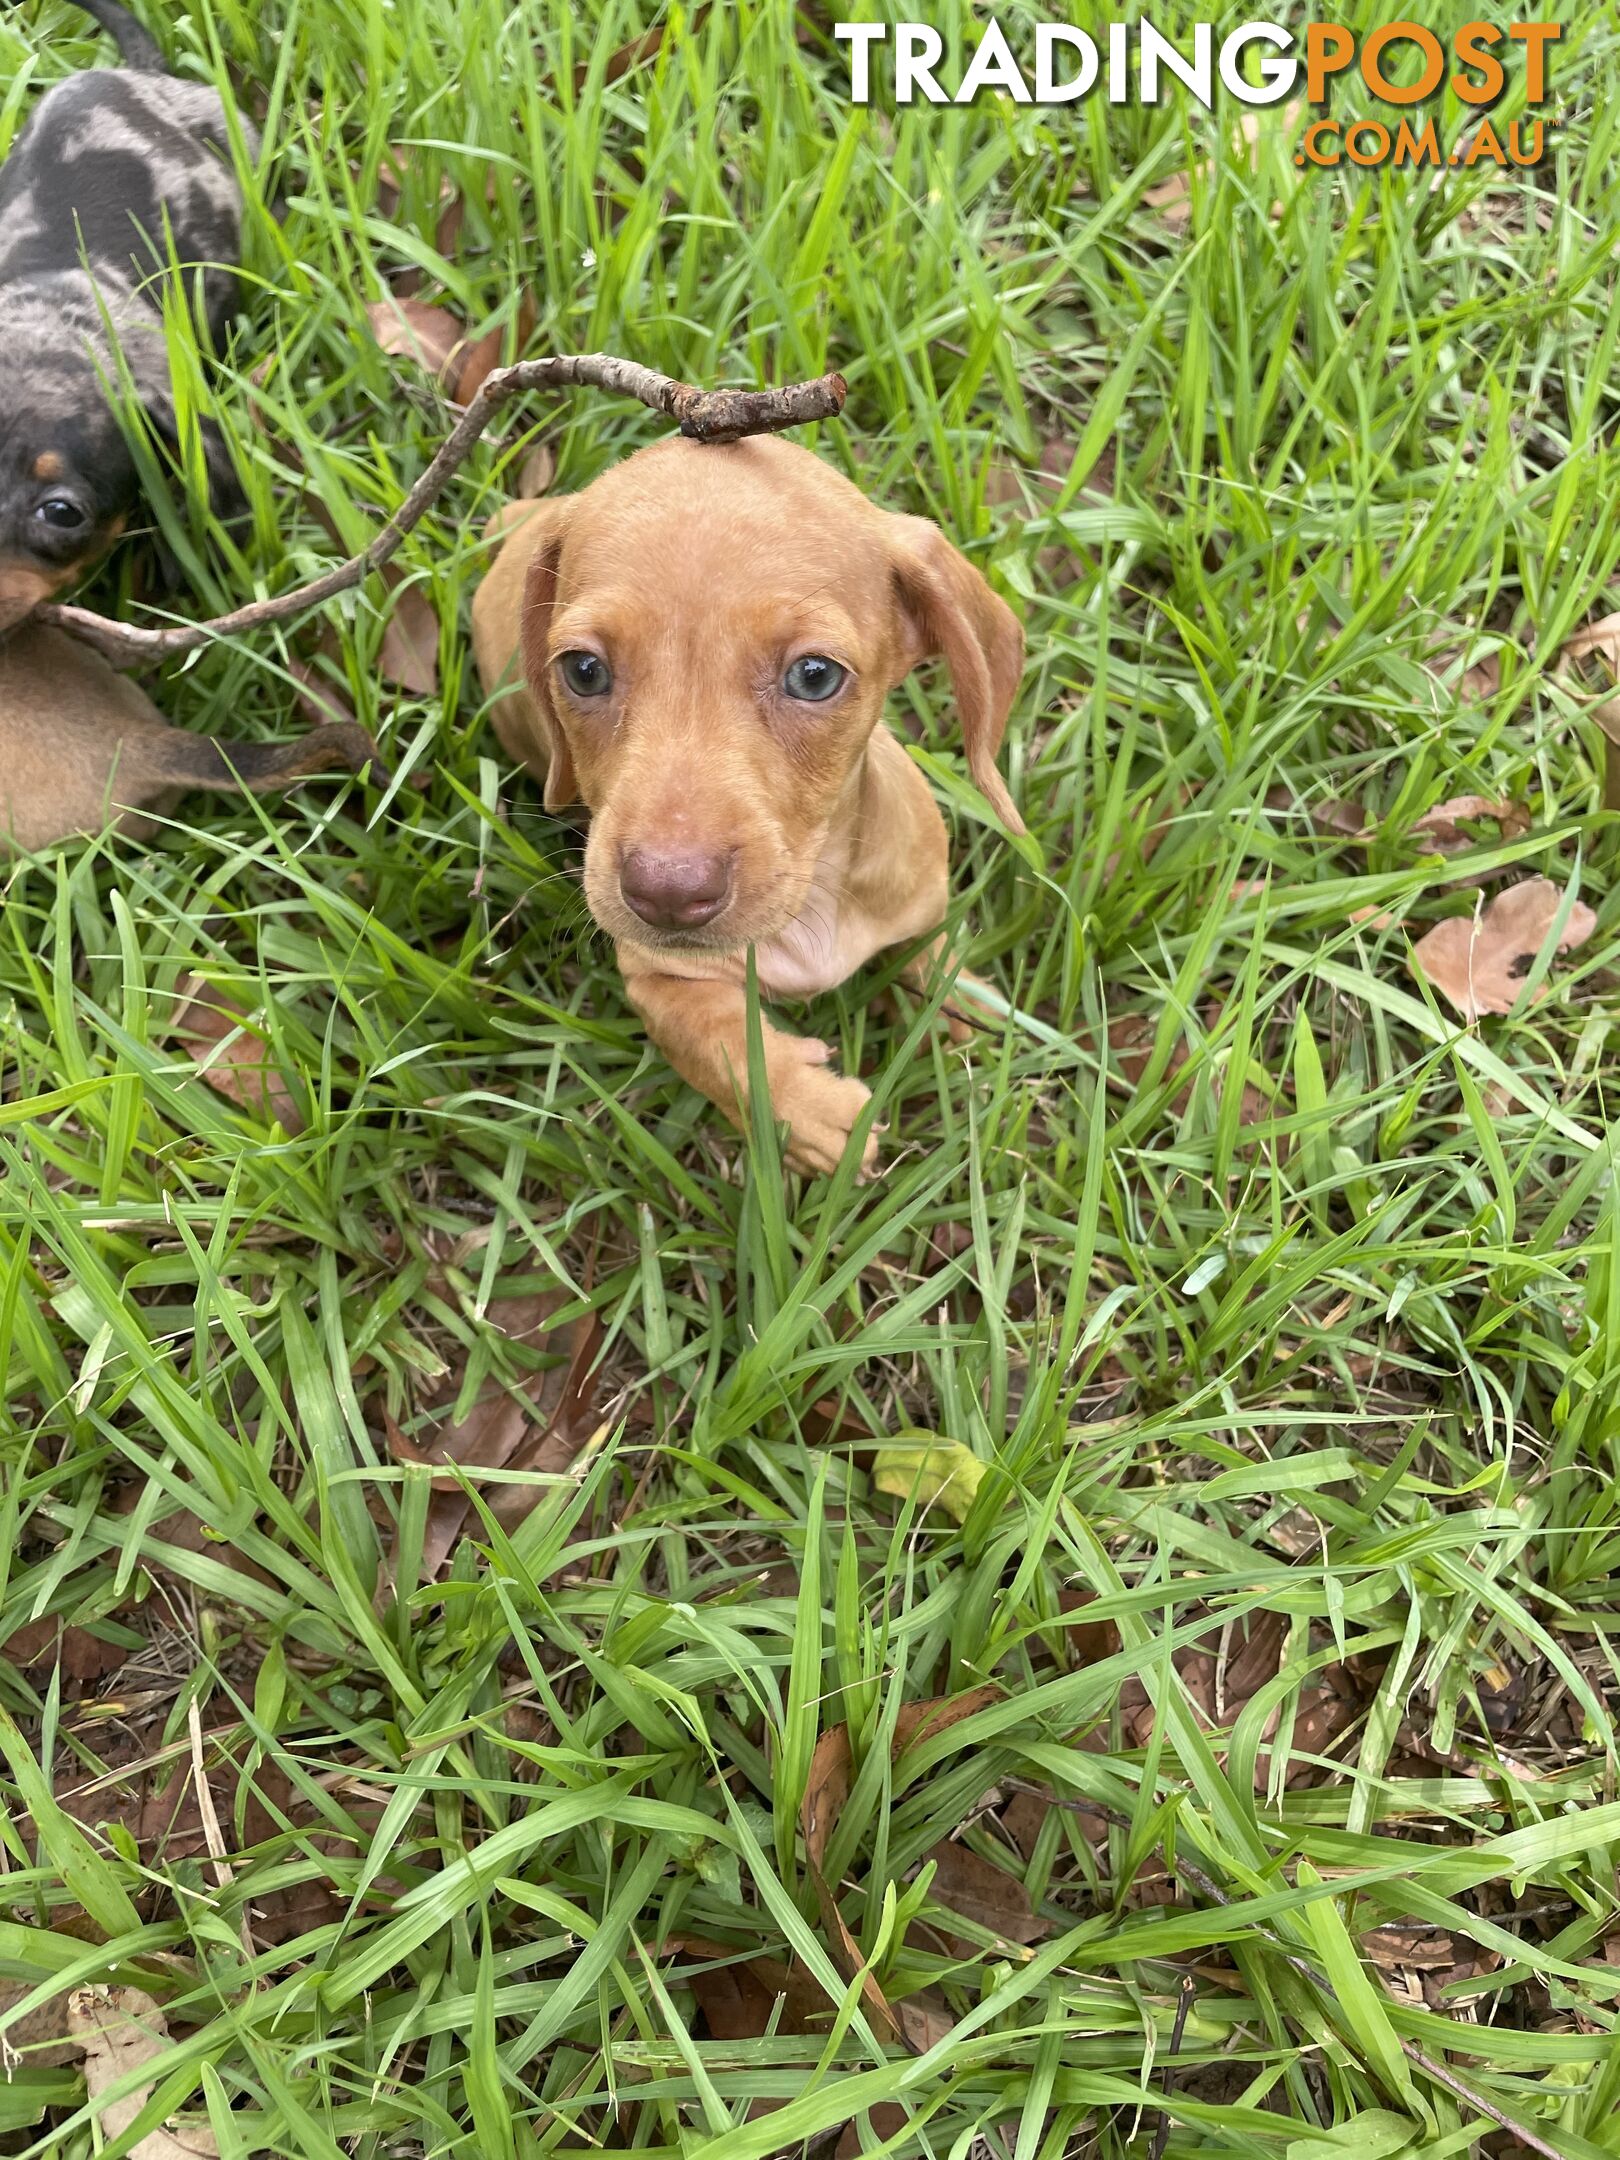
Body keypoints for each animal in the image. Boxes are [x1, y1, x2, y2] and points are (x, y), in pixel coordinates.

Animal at [473, 429, 1028, 1175]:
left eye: (814, 676)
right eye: (583, 671)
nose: (668, 894)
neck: (813, 900)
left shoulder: (921, 899)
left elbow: (927, 950)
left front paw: (959, 1007)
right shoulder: (655, 976)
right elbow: (714, 1043)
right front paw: (811, 1114)